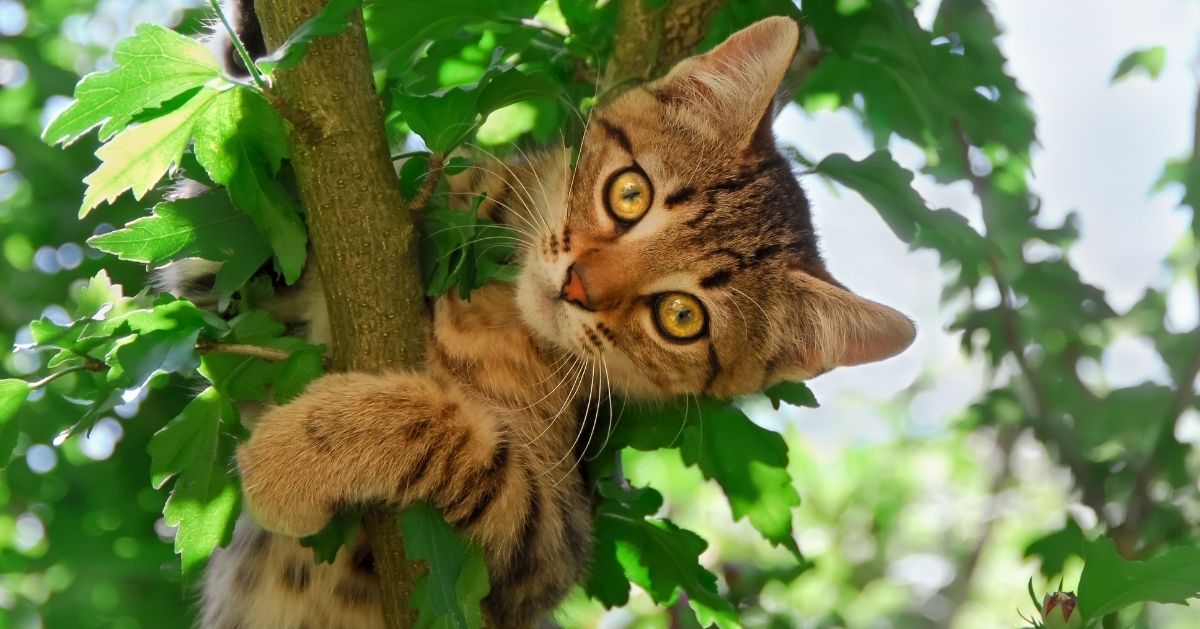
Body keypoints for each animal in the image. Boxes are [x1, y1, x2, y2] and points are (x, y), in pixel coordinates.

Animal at [166, 2, 916, 624]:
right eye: (630, 194)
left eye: (681, 317)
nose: (579, 286)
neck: (492, 313)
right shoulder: (247, 289)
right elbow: (244, 222)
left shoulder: (546, 547)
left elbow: (461, 438)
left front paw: (298, 455)